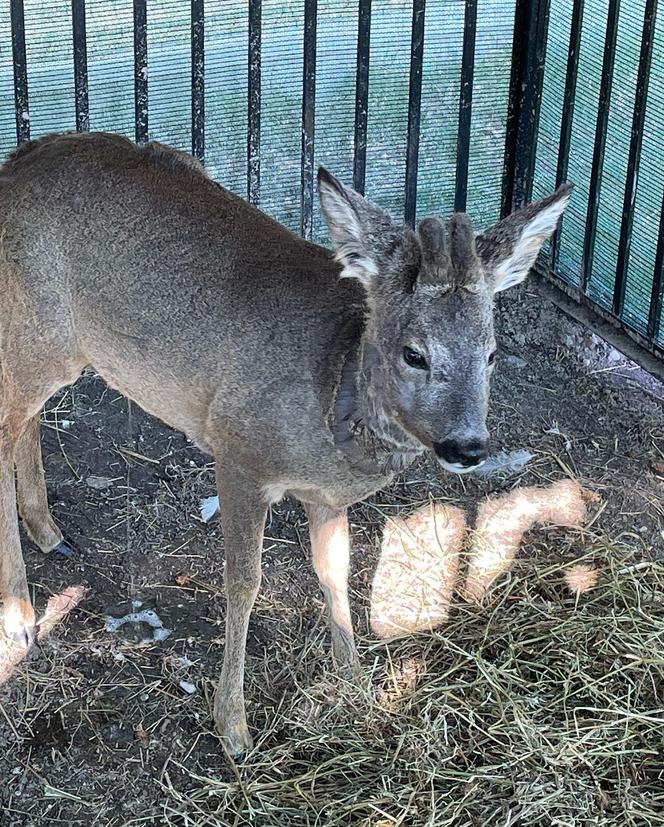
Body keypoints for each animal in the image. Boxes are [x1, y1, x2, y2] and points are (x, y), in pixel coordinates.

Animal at [0, 131, 572, 756]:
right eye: (414, 353)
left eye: (491, 354)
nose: (468, 446)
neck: (332, 401)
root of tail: (17, 162)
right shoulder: (239, 454)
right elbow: (244, 583)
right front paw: (233, 727)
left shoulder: (324, 497)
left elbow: (336, 571)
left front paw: (359, 687)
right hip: (38, 330)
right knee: (7, 423)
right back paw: (22, 620)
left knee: (25, 420)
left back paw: (51, 534)